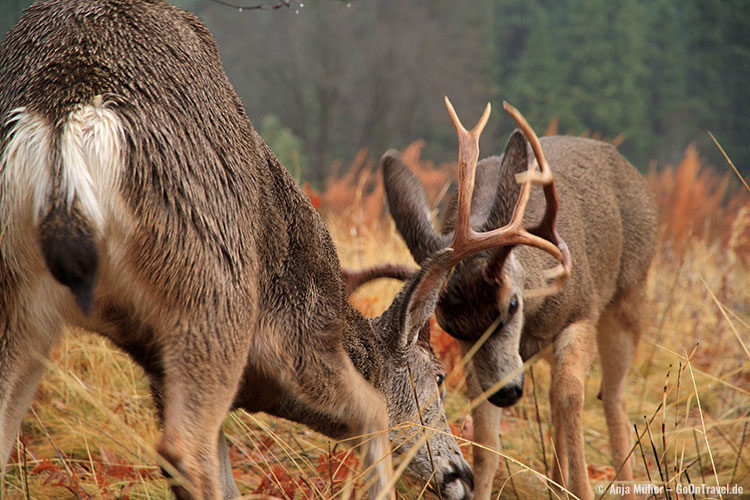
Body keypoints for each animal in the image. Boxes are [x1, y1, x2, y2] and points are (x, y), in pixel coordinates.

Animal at [0, 1, 516, 498]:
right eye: (439, 378)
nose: (461, 475)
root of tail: (65, 112)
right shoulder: (300, 332)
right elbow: (370, 411)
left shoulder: (158, 374)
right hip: (212, 281)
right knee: (184, 450)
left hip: (24, 298)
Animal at [368, 101, 660, 496]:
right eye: (448, 326)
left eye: (511, 304)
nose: (506, 393)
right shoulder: (476, 363)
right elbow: (486, 443)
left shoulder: (581, 310)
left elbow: (571, 396)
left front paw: (582, 489)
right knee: (556, 397)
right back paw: (556, 484)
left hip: (630, 294)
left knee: (610, 395)